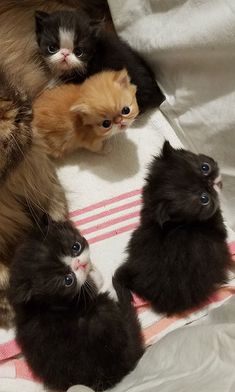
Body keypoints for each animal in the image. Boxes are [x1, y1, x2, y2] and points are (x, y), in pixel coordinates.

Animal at [0, 69, 68, 328]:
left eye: (17, 97)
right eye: (16, 123)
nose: (27, 108)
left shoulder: (38, 173)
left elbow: (54, 202)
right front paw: (6, 309)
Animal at [8, 220, 143, 392]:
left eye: (75, 247)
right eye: (68, 280)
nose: (79, 263)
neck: (41, 303)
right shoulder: (82, 295)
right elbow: (95, 282)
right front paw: (93, 271)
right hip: (102, 312)